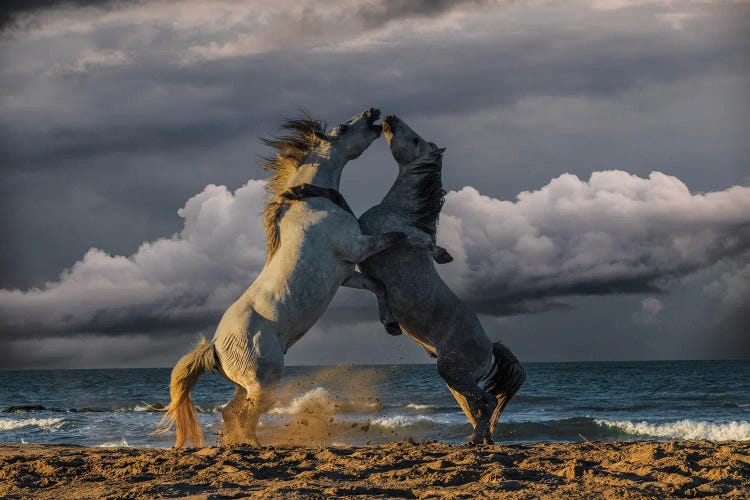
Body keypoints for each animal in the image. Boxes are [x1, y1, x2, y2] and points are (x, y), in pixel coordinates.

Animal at [160, 108, 440, 446]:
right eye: (343, 127)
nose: (373, 112)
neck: (312, 203)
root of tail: (215, 346)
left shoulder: (346, 273)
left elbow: (378, 285)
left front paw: (391, 324)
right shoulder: (359, 247)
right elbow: (399, 236)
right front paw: (437, 250)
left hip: (247, 384)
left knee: (230, 412)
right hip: (263, 381)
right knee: (244, 415)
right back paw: (255, 446)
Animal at [360, 115, 528, 444]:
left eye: (415, 140)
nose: (389, 118)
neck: (399, 212)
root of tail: (490, 345)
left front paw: (441, 253)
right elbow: (377, 289)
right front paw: (390, 324)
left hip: (453, 373)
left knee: (488, 402)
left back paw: (475, 441)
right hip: (456, 383)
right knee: (477, 408)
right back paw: (481, 441)